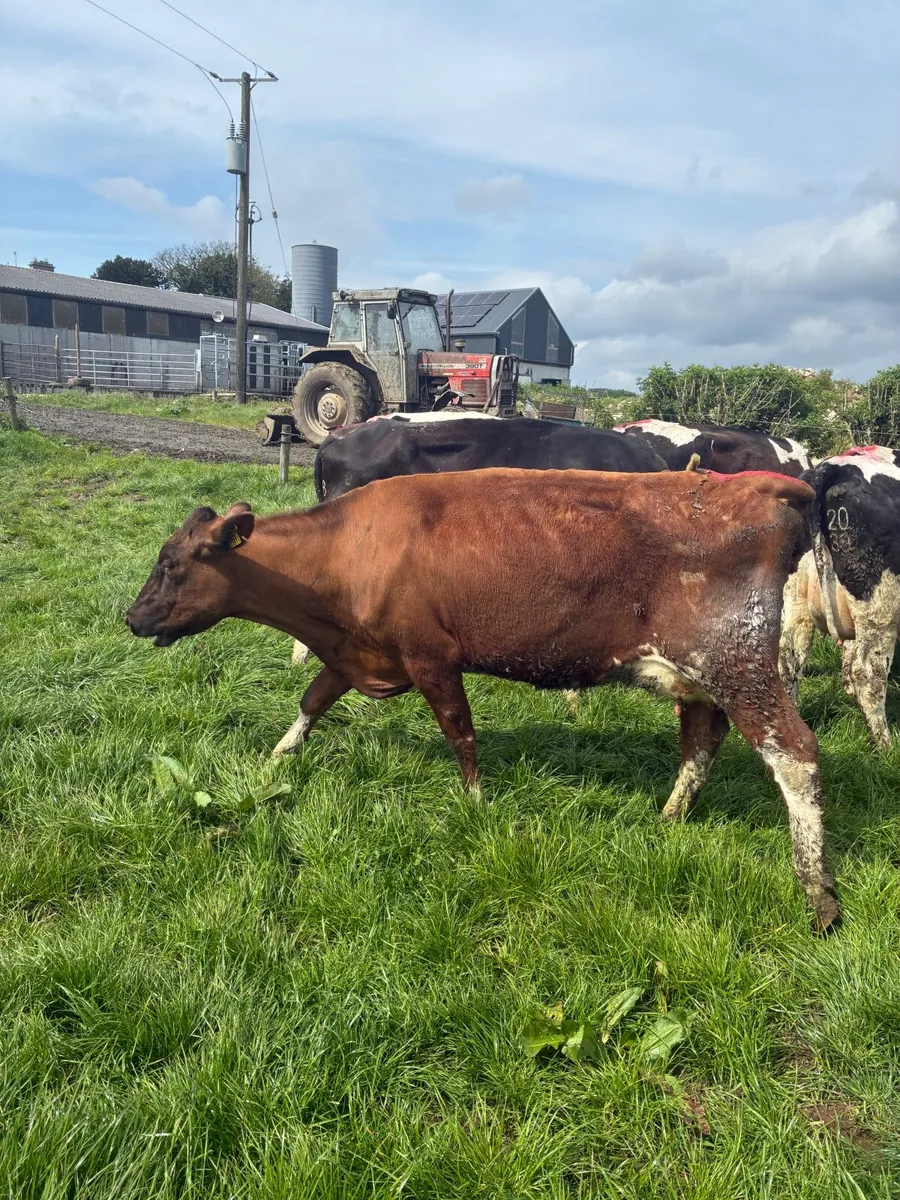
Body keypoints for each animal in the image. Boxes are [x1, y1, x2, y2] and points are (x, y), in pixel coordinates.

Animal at [126, 466, 838, 932]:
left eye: (171, 566)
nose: (132, 619)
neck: (350, 547)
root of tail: (764, 484)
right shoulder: (359, 652)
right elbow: (311, 700)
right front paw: (275, 760)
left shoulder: (432, 657)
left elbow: (459, 731)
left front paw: (475, 804)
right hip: (699, 679)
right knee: (701, 743)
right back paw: (668, 818)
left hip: (738, 665)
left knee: (794, 753)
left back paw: (818, 894)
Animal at [779, 445, 900, 746]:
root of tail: (834, 466)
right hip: (881, 607)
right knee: (868, 672)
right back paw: (885, 744)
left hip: (797, 601)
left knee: (789, 660)